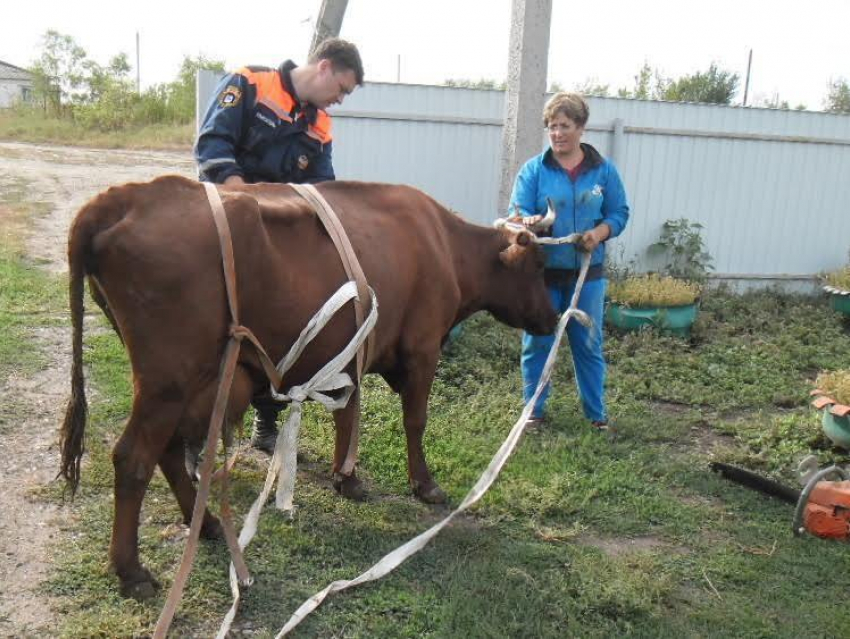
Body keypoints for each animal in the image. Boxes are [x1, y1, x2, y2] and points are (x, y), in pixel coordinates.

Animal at [59, 174, 556, 596]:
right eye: (538, 265)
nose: (553, 320)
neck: (444, 245)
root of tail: (129, 195)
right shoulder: (422, 350)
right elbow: (415, 421)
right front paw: (424, 484)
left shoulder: (353, 352)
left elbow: (347, 416)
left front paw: (346, 478)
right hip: (168, 380)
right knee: (133, 458)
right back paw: (132, 571)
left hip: (186, 383)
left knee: (166, 451)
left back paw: (209, 525)